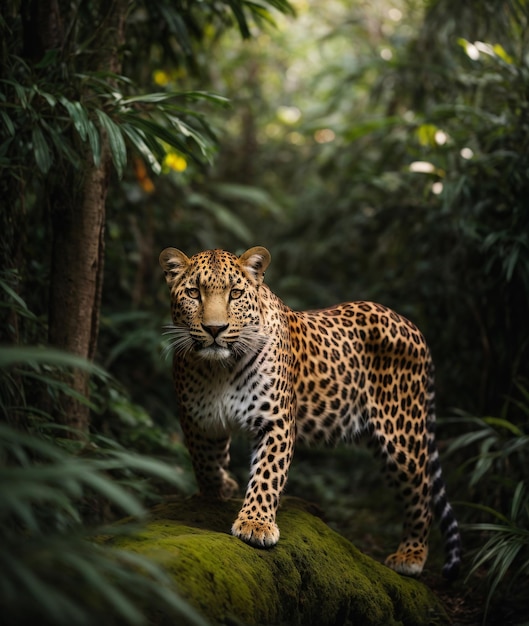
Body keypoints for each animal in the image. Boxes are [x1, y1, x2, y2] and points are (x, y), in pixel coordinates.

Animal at [159, 246, 460, 576]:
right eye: (193, 292)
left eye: (235, 293)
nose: (215, 329)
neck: (219, 369)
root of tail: (411, 326)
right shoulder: (199, 419)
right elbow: (206, 463)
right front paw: (217, 491)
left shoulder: (275, 420)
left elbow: (267, 474)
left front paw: (255, 524)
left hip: (402, 434)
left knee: (422, 490)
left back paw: (410, 555)